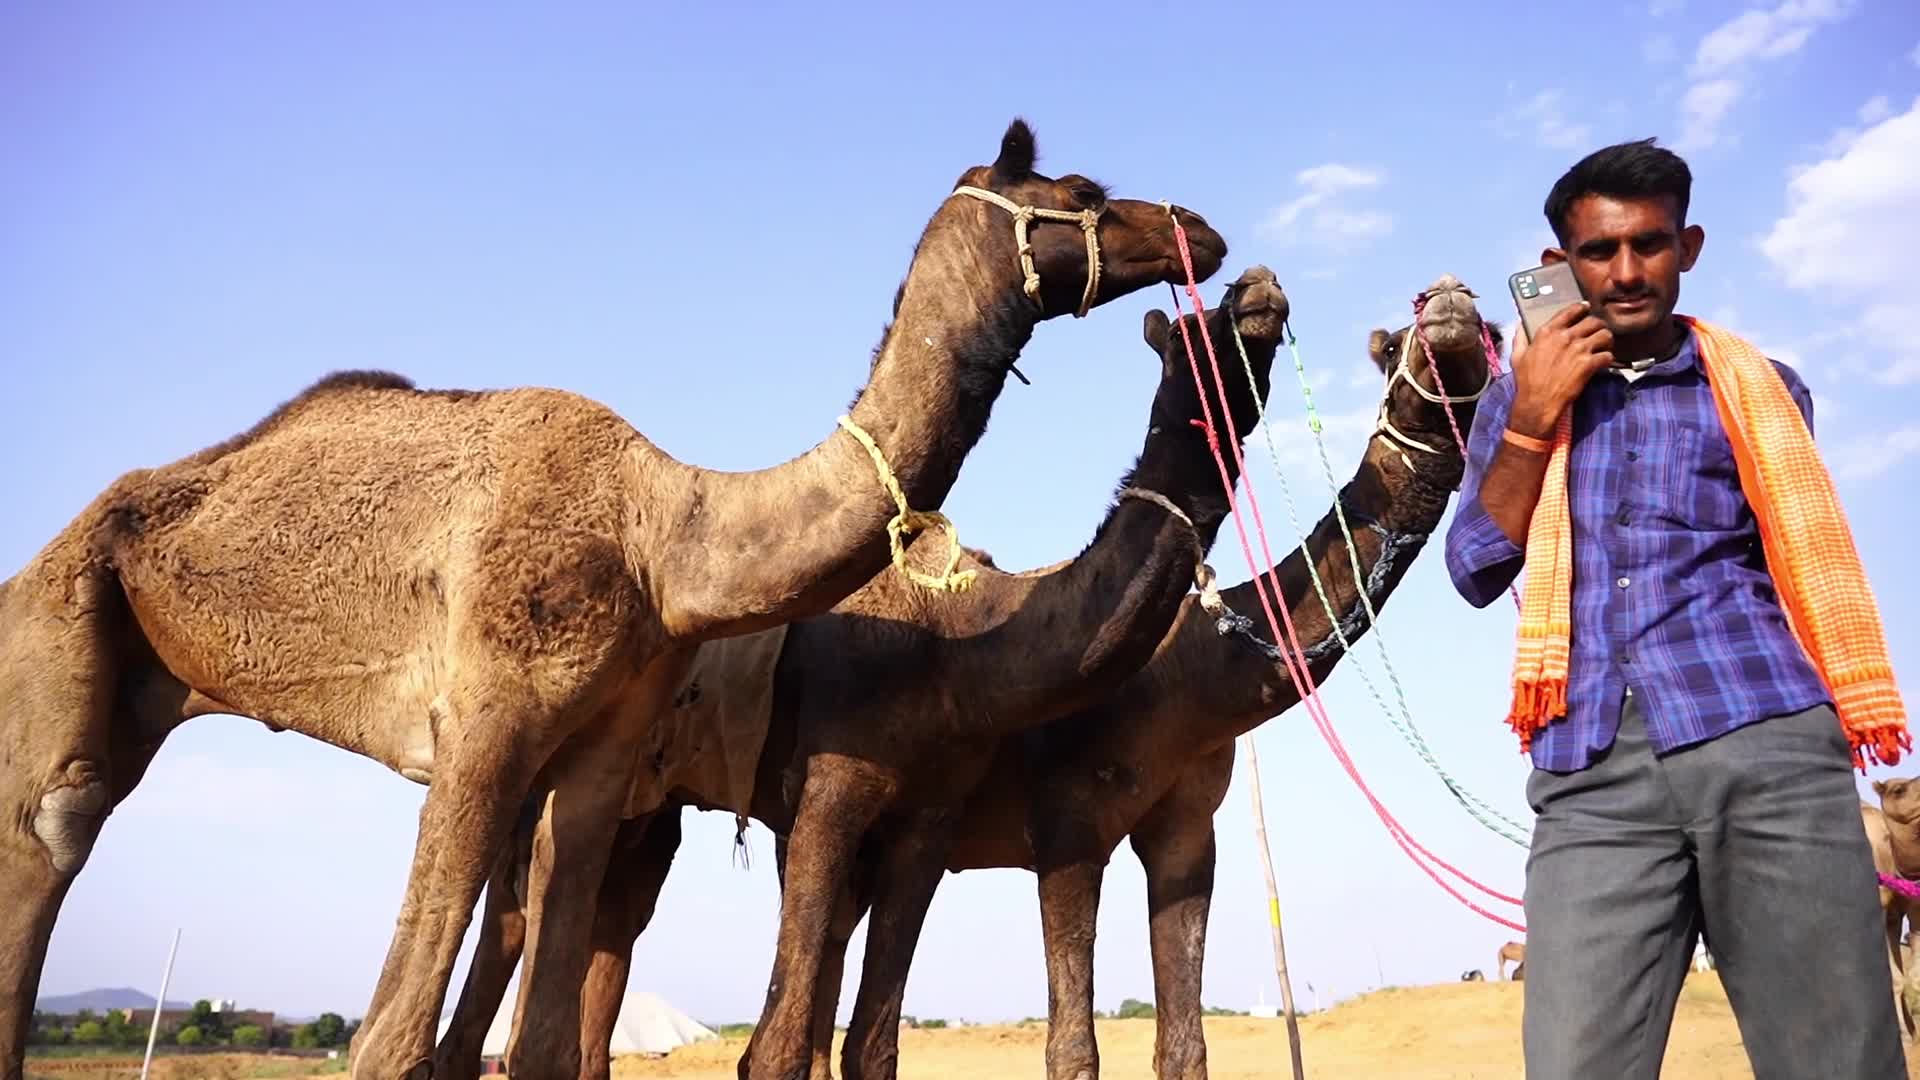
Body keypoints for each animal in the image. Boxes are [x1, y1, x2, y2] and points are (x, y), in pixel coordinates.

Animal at [0, 118, 1227, 1080]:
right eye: (1083, 193)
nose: (1200, 232)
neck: (664, 540)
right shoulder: (483, 722)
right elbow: (389, 1041)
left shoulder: (604, 754)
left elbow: (545, 1040)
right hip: (61, 620)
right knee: (53, 824)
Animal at [443, 274, 1499, 1080]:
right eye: (1188, 333)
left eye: (1484, 333)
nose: (1257, 291)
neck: (1184, 680)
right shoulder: (1061, 816)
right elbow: (1068, 1044)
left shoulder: (1181, 832)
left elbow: (1182, 1045)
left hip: (649, 816)